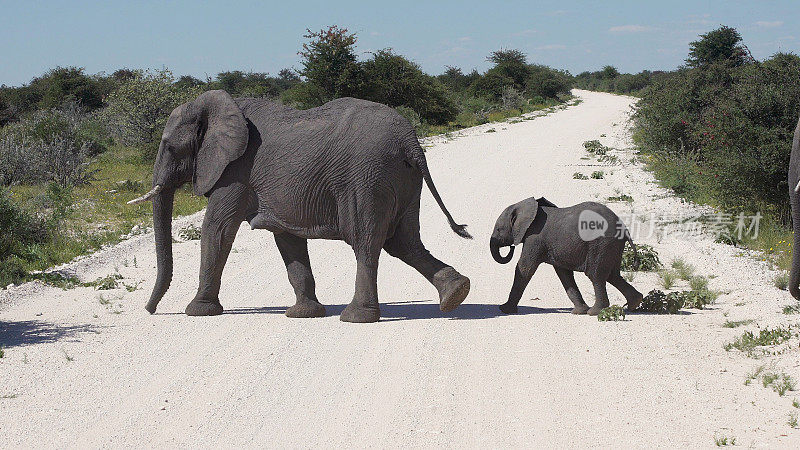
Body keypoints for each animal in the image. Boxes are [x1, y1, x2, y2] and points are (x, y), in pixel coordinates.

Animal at [128, 89, 472, 322]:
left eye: (169, 147)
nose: (150, 310)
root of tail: (411, 142)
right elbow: (287, 239)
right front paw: (303, 314)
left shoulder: (235, 170)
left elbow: (217, 229)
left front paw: (197, 312)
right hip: (402, 179)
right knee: (404, 242)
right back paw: (456, 294)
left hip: (367, 177)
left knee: (366, 242)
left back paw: (356, 317)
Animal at [488, 197, 644, 316]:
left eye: (498, 229)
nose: (511, 247)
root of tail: (624, 228)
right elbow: (564, 274)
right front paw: (578, 311)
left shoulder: (534, 238)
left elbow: (524, 268)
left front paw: (505, 310)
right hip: (612, 246)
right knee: (613, 275)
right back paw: (634, 303)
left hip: (601, 244)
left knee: (596, 276)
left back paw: (595, 312)